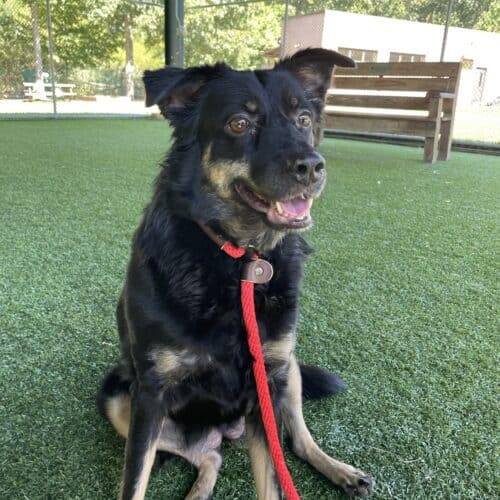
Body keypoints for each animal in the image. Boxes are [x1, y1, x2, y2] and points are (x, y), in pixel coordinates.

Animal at [97, 47, 374, 500]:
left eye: (303, 119)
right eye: (239, 123)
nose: (312, 167)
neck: (239, 261)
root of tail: (227, 430)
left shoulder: (267, 381)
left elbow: (273, 480)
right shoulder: (151, 393)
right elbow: (134, 481)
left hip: (287, 370)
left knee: (295, 440)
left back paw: (340, 470)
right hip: (118, 396)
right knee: (210, 456)